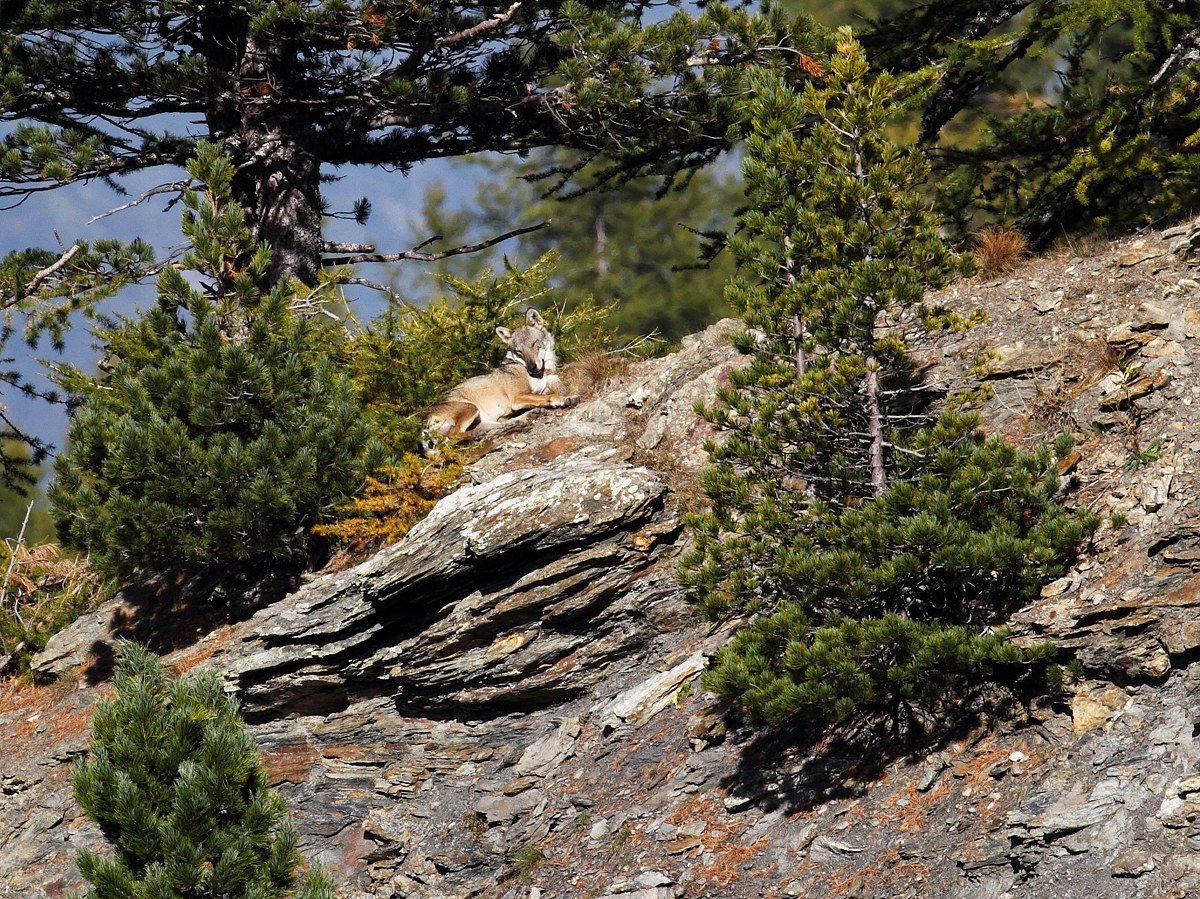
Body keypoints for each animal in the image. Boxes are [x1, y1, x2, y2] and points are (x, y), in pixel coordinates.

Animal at [423, 308, 581, 449]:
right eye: (519, 352)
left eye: (534, 344)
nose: (532, 368)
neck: (542, 372)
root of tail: (424, 418)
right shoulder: (517, 397)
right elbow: (549, 396)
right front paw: (563, 399)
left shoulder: (552, 381)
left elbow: (559, 390)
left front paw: (567, 396)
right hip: (471, 408)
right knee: (454, 435)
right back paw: (476, 434)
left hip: (485, 419)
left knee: (500, 425)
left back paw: (528, 416)